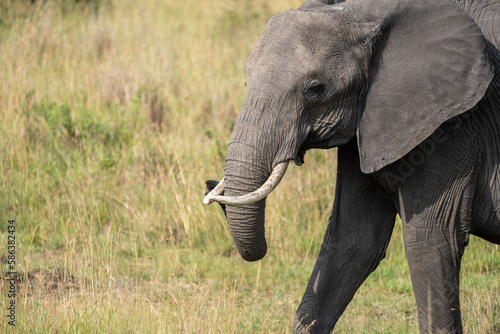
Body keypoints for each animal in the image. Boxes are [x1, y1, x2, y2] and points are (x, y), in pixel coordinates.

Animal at [204, 0, 500, 332]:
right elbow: (354, 239)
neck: (365, 13)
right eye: (246, 80)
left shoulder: (452, 126)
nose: (211, 187)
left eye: (315, 89)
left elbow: (431, 239)